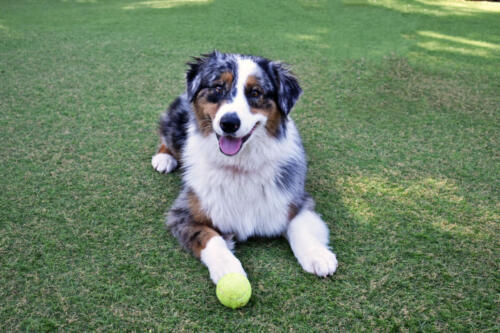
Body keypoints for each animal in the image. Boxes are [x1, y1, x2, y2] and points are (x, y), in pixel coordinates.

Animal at [152, 51, 338, 282]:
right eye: (218, 88)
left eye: (256, 92)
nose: (229, 123)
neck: (239, 166)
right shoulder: (182, 214)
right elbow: (210, 237)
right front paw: (228, 270)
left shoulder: (297, 200)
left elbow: (300, 226)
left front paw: (317, 255)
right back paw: (163, 158)